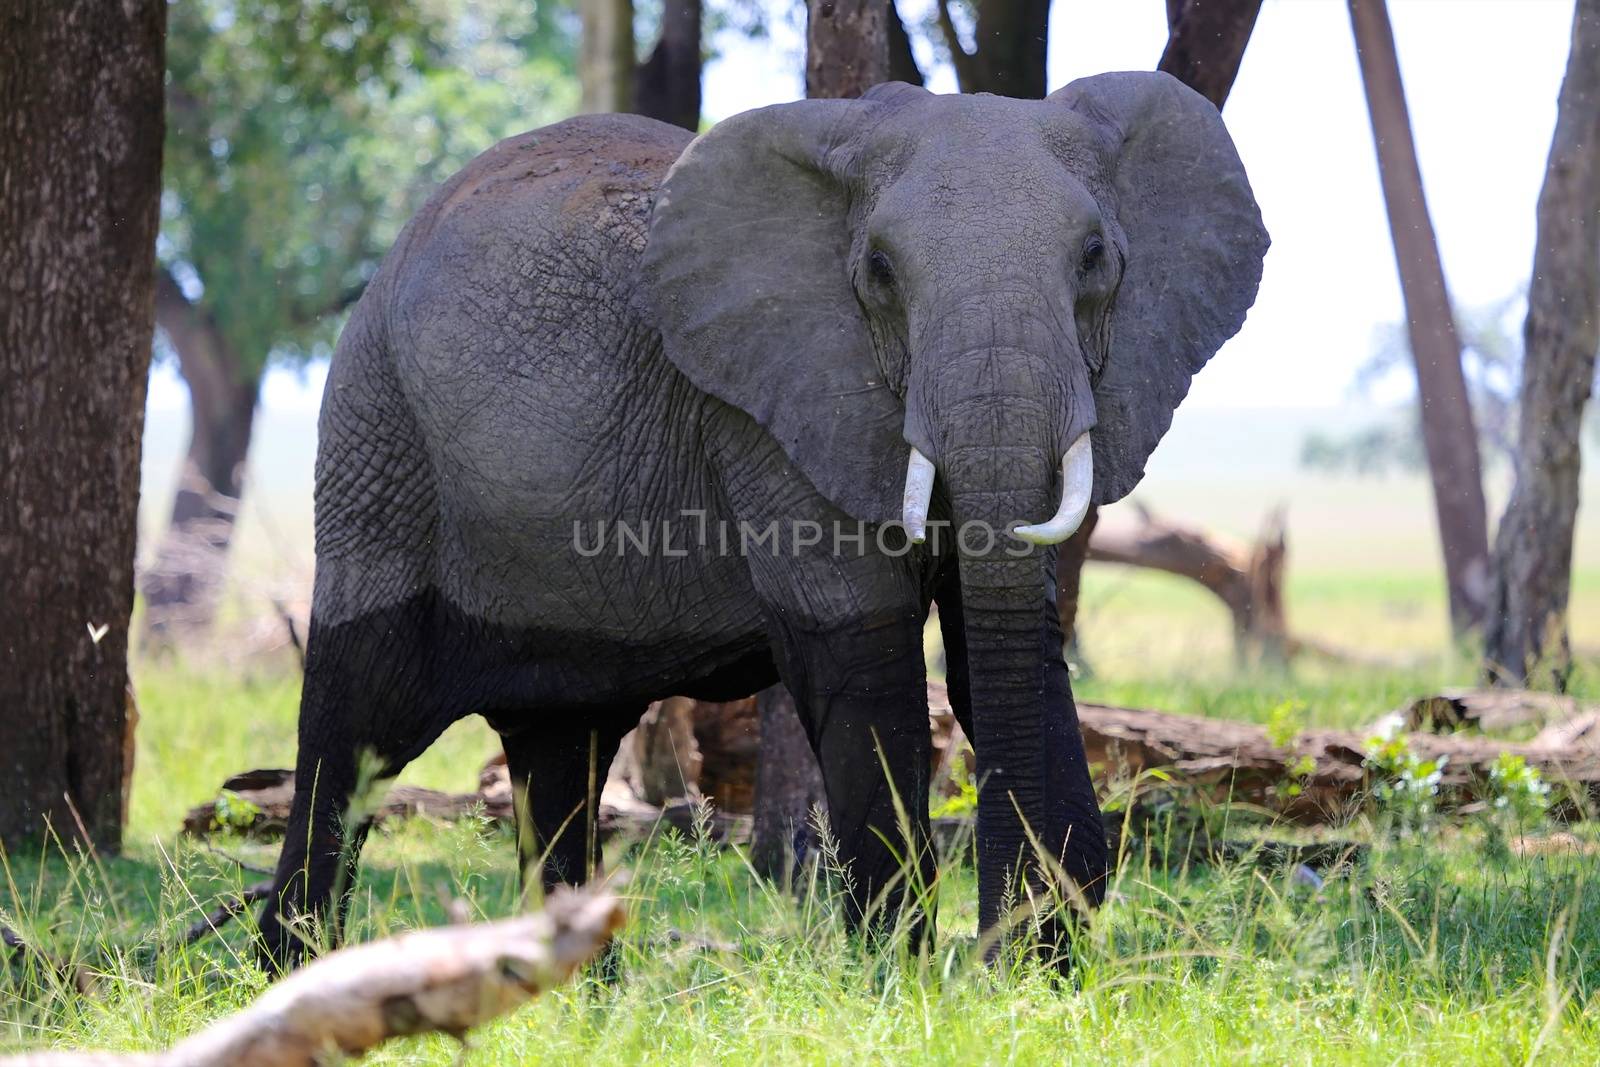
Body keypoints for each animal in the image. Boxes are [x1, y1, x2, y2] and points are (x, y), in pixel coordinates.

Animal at [256, 68, 1267, 966]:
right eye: (879, 272)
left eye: (1095, 259)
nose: (1007, 953)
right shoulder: (765, 408)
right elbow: (863, 652)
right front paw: (900, 986)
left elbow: (1001, 648)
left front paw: (1041, 973)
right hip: (378, 438)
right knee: (355, 728)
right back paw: (289, 973)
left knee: (561, 750)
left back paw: (578, 999)